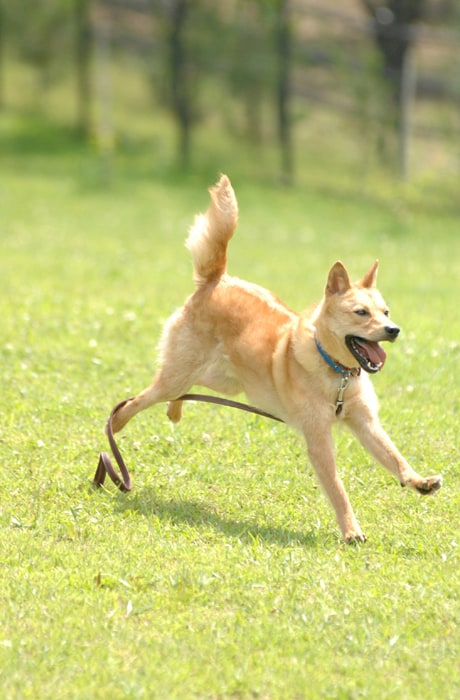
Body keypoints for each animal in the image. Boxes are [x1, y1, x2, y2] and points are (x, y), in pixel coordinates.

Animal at [111, 174, 442, 540]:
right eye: (361, 313)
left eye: (386, 312)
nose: (394, 330)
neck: (336, 373)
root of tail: (216, 280)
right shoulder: (318, 438)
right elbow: (337, 488)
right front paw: (351, 530)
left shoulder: (366, 423)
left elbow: (394, 456)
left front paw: (418, 481)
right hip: (180, 373)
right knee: (140, 398)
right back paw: (118, 422)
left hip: (225, 381)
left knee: (188, 387)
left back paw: (175, 409)